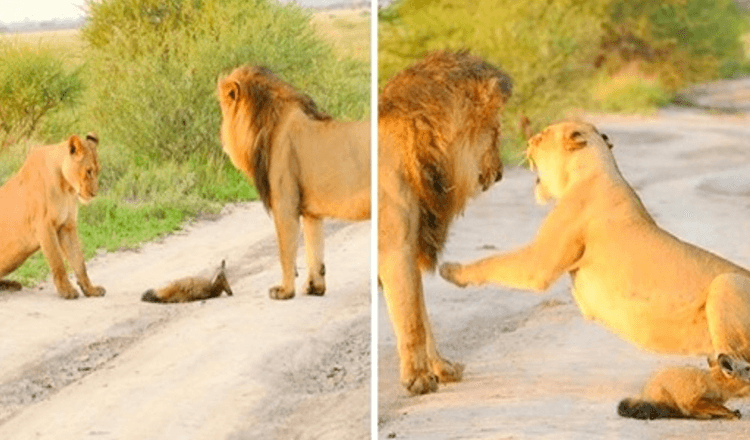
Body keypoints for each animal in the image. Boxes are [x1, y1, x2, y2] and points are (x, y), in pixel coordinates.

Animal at [0, 135, 106, 300]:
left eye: (97, 171)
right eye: (89, 171)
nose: (94, 193)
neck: (66, 187)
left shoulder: (67, 226)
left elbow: (79, 263)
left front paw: (90, 290)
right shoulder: (45, 226)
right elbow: (58, 262)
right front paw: (66, 291)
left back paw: (12, 285)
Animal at [217, 66, 370, 300]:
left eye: (223, 108)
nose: (221, 136)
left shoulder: (285, 203)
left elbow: (285, 251)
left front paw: (284, 291)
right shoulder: (311, 211)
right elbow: (314, 248)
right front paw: (315, 287)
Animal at [378, 51, 516, 396]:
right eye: (495, 131)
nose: (500, 173)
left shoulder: (411, 247)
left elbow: (422, 314)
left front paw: (441, 368)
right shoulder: (395, 249)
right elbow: (411, 318)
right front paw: (418, 379)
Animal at [444, 118, 750, 400]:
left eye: (541, 137)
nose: (528, 142)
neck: (595, 168)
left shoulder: (539, 262)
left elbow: (492, 262)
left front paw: (451, 271)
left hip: (726, 283)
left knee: (737, 379)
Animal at [620, 352, 750, 422]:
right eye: (748, 368)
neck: (716, 382)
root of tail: (643, 393)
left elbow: (720, 407)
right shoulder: (693, 401)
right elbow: (720, 407)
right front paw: (730, 413)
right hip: (665, 396)